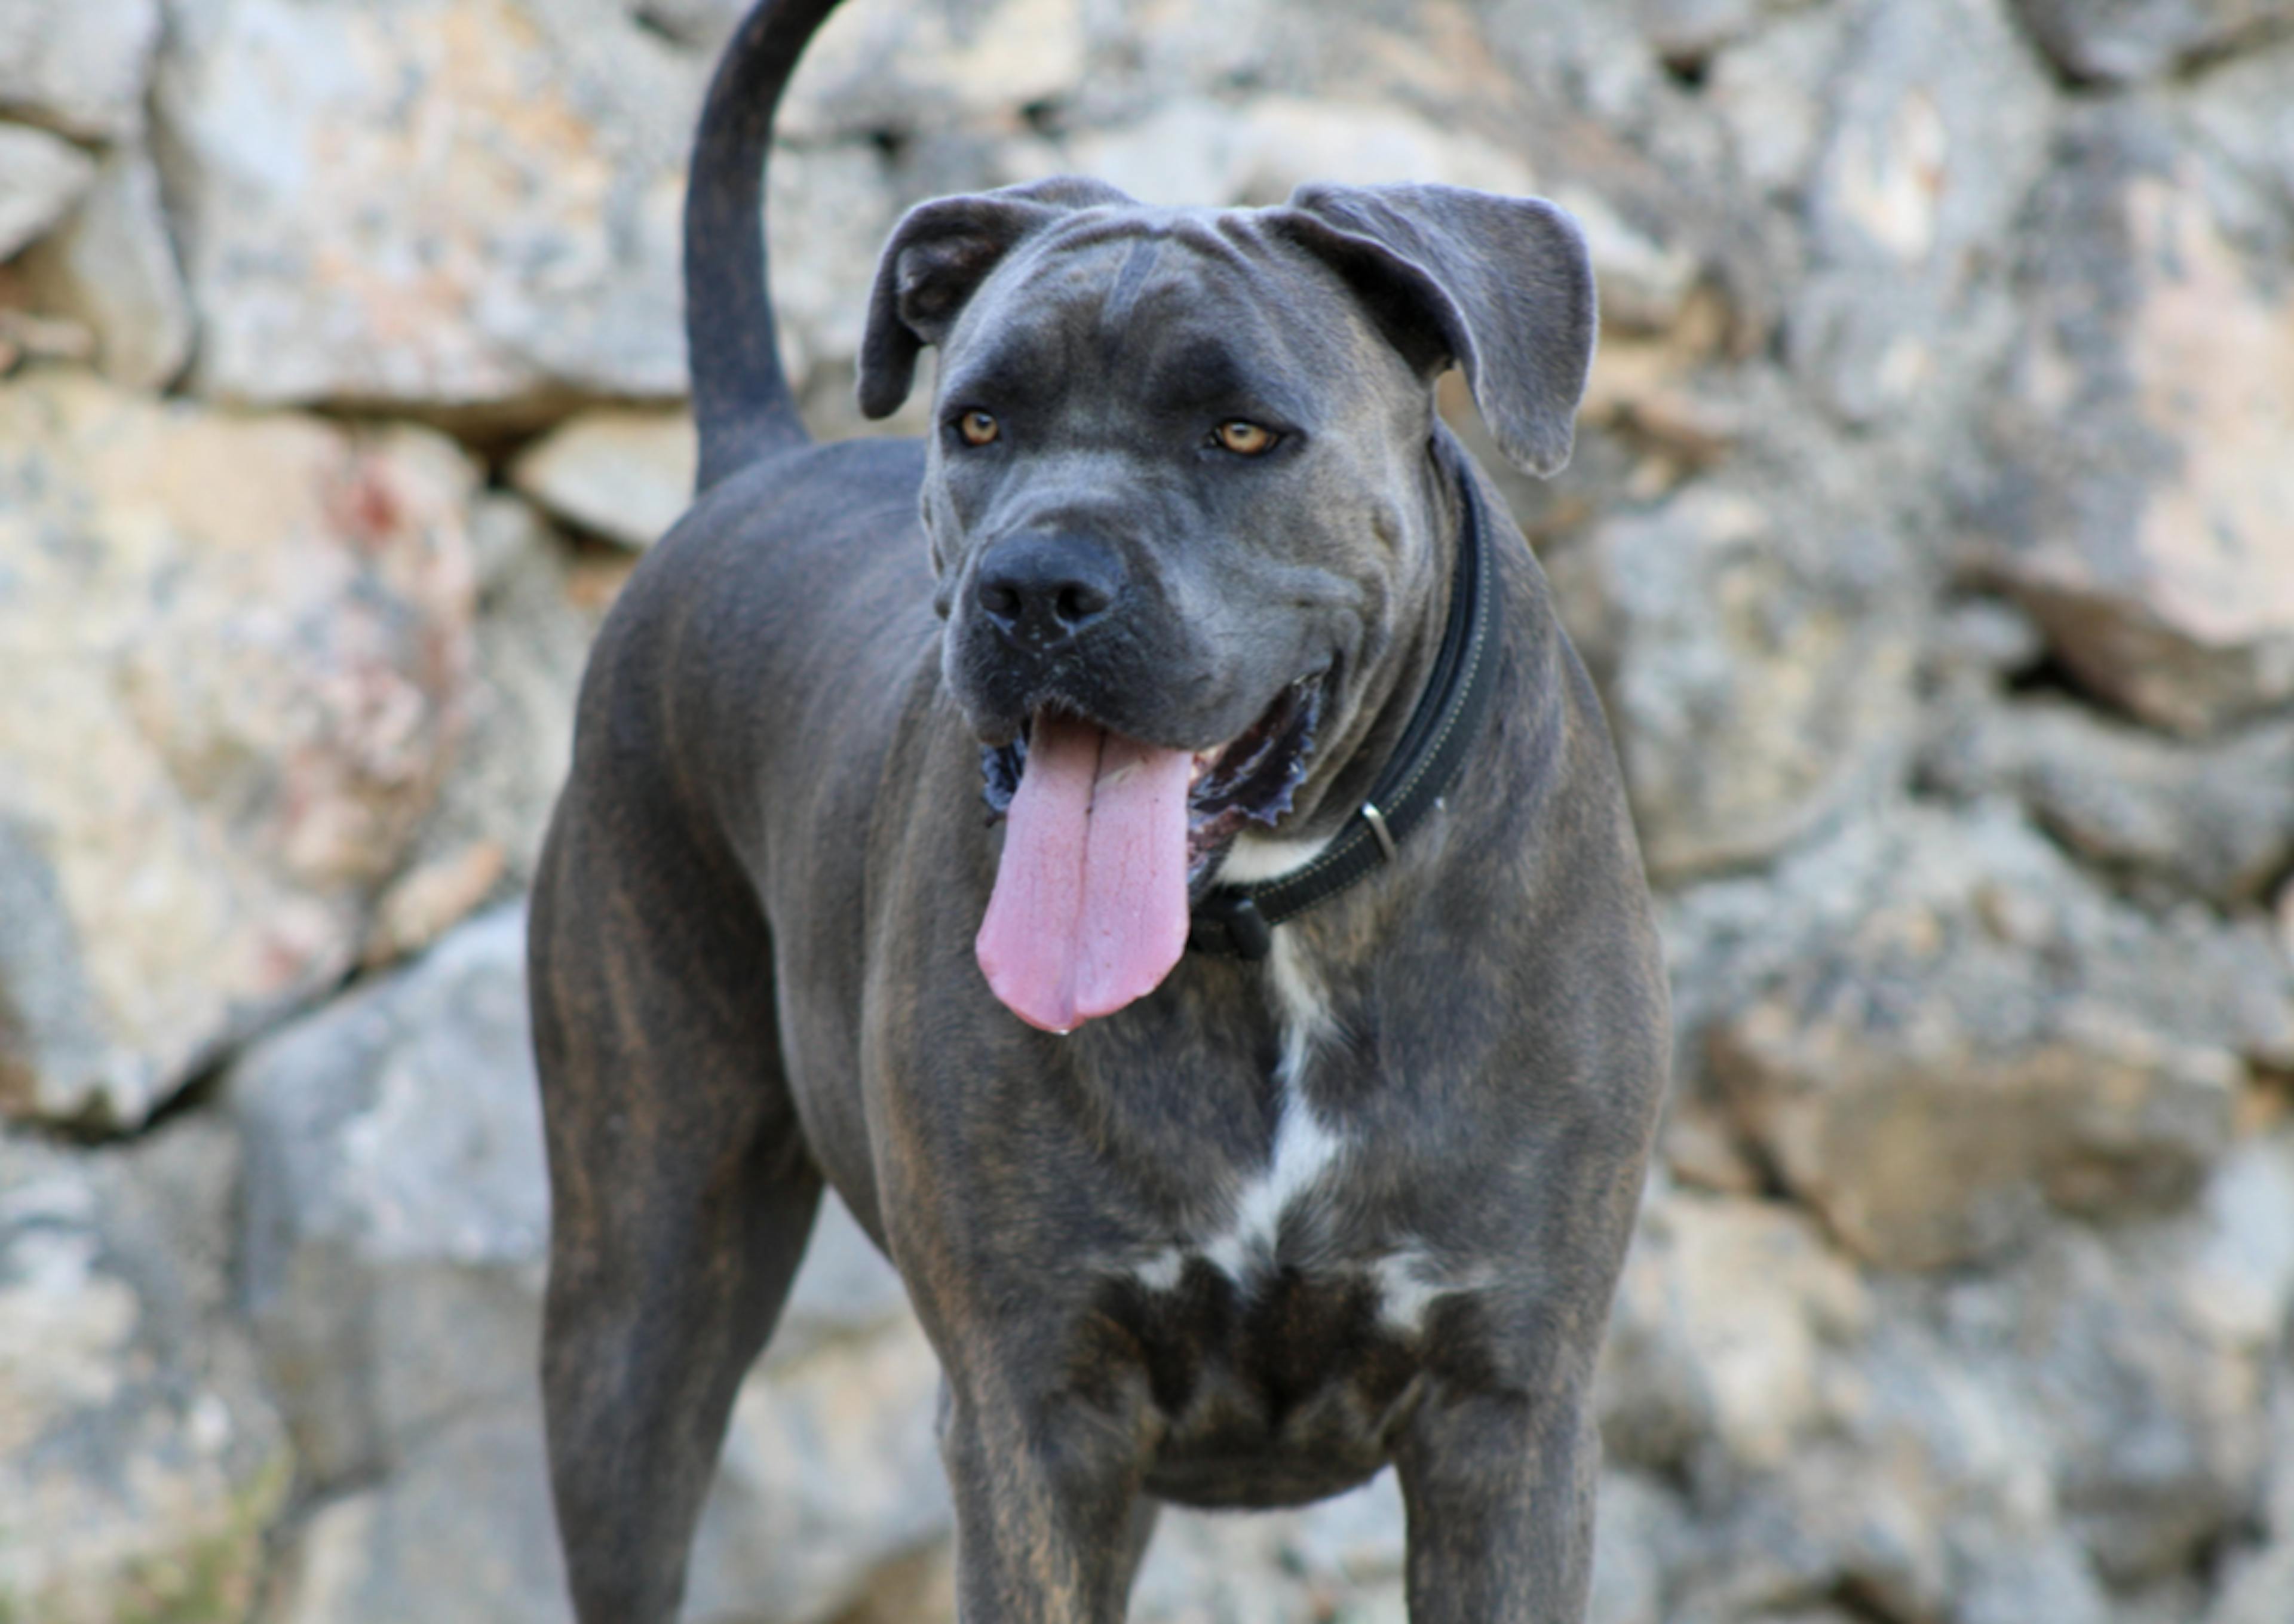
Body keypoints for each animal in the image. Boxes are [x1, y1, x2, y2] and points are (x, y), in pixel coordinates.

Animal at [530, 0, 1679, 1614]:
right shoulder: (1033, 1416)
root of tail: (747, 465)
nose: (1033, 585)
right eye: (978, 423)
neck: (1274, 931)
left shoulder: (1507, 1414)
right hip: (638, 1285)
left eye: (1245, 435)